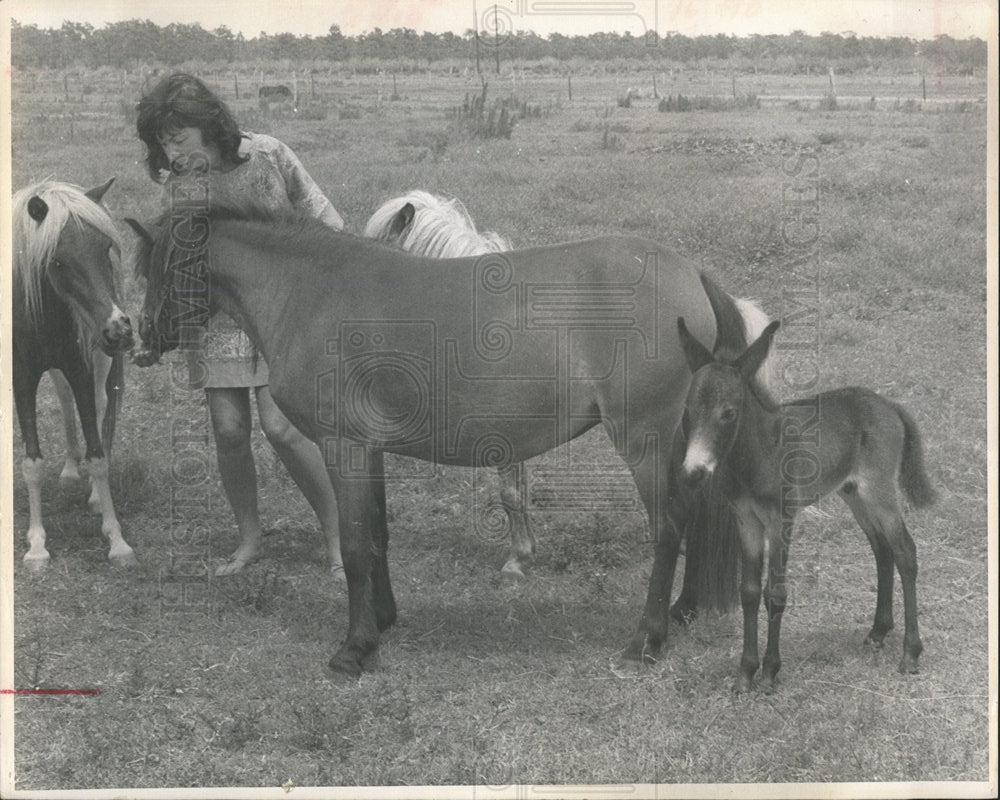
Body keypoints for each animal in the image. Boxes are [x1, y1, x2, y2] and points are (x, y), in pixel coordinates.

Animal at [12, 181, 137, 568]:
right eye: (57, 261)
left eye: (105, 248)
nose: (118, 329)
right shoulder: (22, 379)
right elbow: (32, 463)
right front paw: (37, 546)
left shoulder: (82, 368)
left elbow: (97, 456)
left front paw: (117, 540)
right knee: (65, 402)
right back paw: (69, 469)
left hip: (100, 362)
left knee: (98, 407)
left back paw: (95, 494)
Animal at [127, 205, 764, 676]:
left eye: (156, 268)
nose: (140, 337)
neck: (314, 291)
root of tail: (691, 274)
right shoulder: (370, 449)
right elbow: (376, 536)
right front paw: (382, 620)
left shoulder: (343, 446)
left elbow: (354, 546)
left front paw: (354, 649)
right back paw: (683, 612)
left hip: (645, 441)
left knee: (669, 528)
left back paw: (645, 640)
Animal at [676, 316, 932, 692]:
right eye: (687, 412)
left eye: (729, 413)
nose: (692, 473)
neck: (761, 454)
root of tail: (889, 405)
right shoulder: (746, 520)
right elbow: (749, 591)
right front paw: (745, 673)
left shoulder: (781, 520)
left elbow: (775, 593)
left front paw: (770, 672)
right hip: (854, 494)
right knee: (882, 550)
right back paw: (877, 632)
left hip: (880, 491)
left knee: (905, 552)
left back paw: (911, 652)